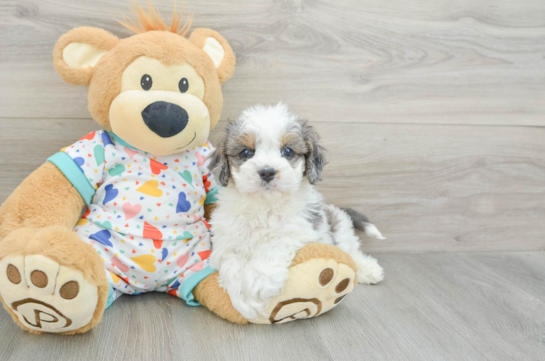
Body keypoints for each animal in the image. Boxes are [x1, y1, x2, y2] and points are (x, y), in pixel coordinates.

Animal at [207, 102, 382, 318]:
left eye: (288, 151)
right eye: (246, 153)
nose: (267, 172)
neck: (265, 206)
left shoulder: (300, 229)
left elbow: (274, 245)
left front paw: (258, 281)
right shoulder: (225, 239)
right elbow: (230, 262)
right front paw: (243, 299)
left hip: (340, 232)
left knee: (351, 252)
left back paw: (369, 270)